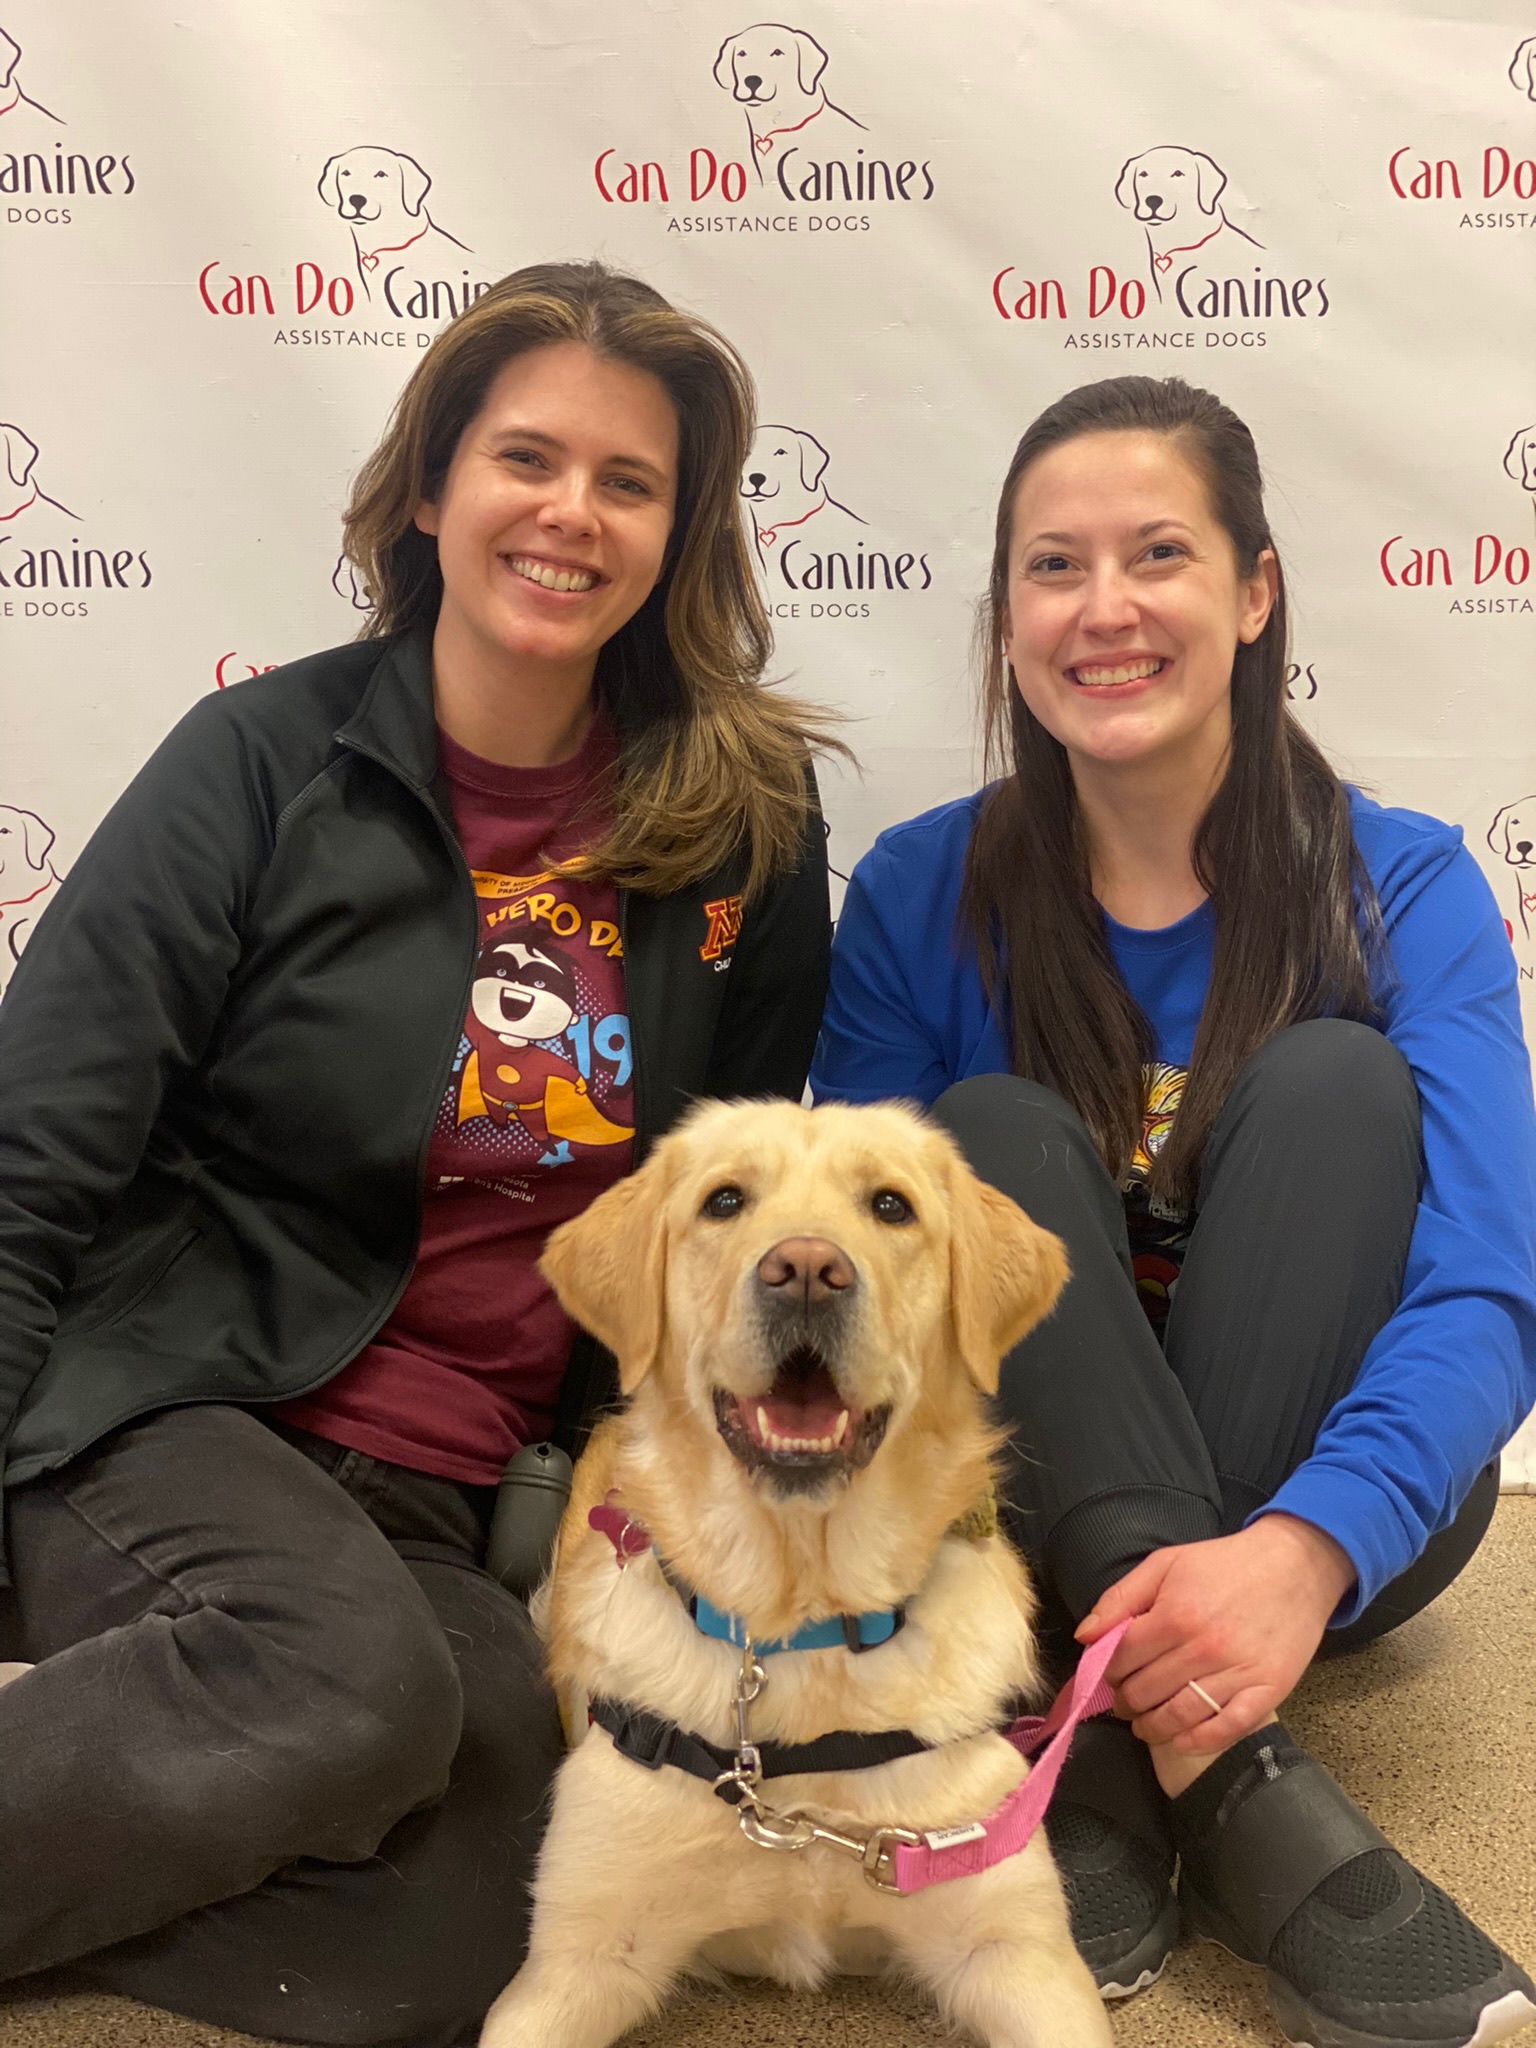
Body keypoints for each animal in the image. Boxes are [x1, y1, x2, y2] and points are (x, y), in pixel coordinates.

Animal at [483, 1105, 1122, 2048]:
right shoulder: (577, 1959)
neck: (802, 1625)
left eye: (891, 1205)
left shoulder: (1013, 1947)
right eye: (723, 1201)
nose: (809, 1272)